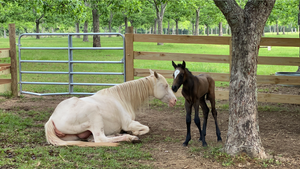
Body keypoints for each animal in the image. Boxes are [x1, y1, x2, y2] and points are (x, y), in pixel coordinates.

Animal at [44, 70, 176, 147]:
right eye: (165, 86)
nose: (174, 100)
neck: (121, 98)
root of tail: (52, 119)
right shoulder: (128, 124)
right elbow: (146, 128)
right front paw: (136, 133)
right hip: (95, 115)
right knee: (100, 139)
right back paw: (131, 138)